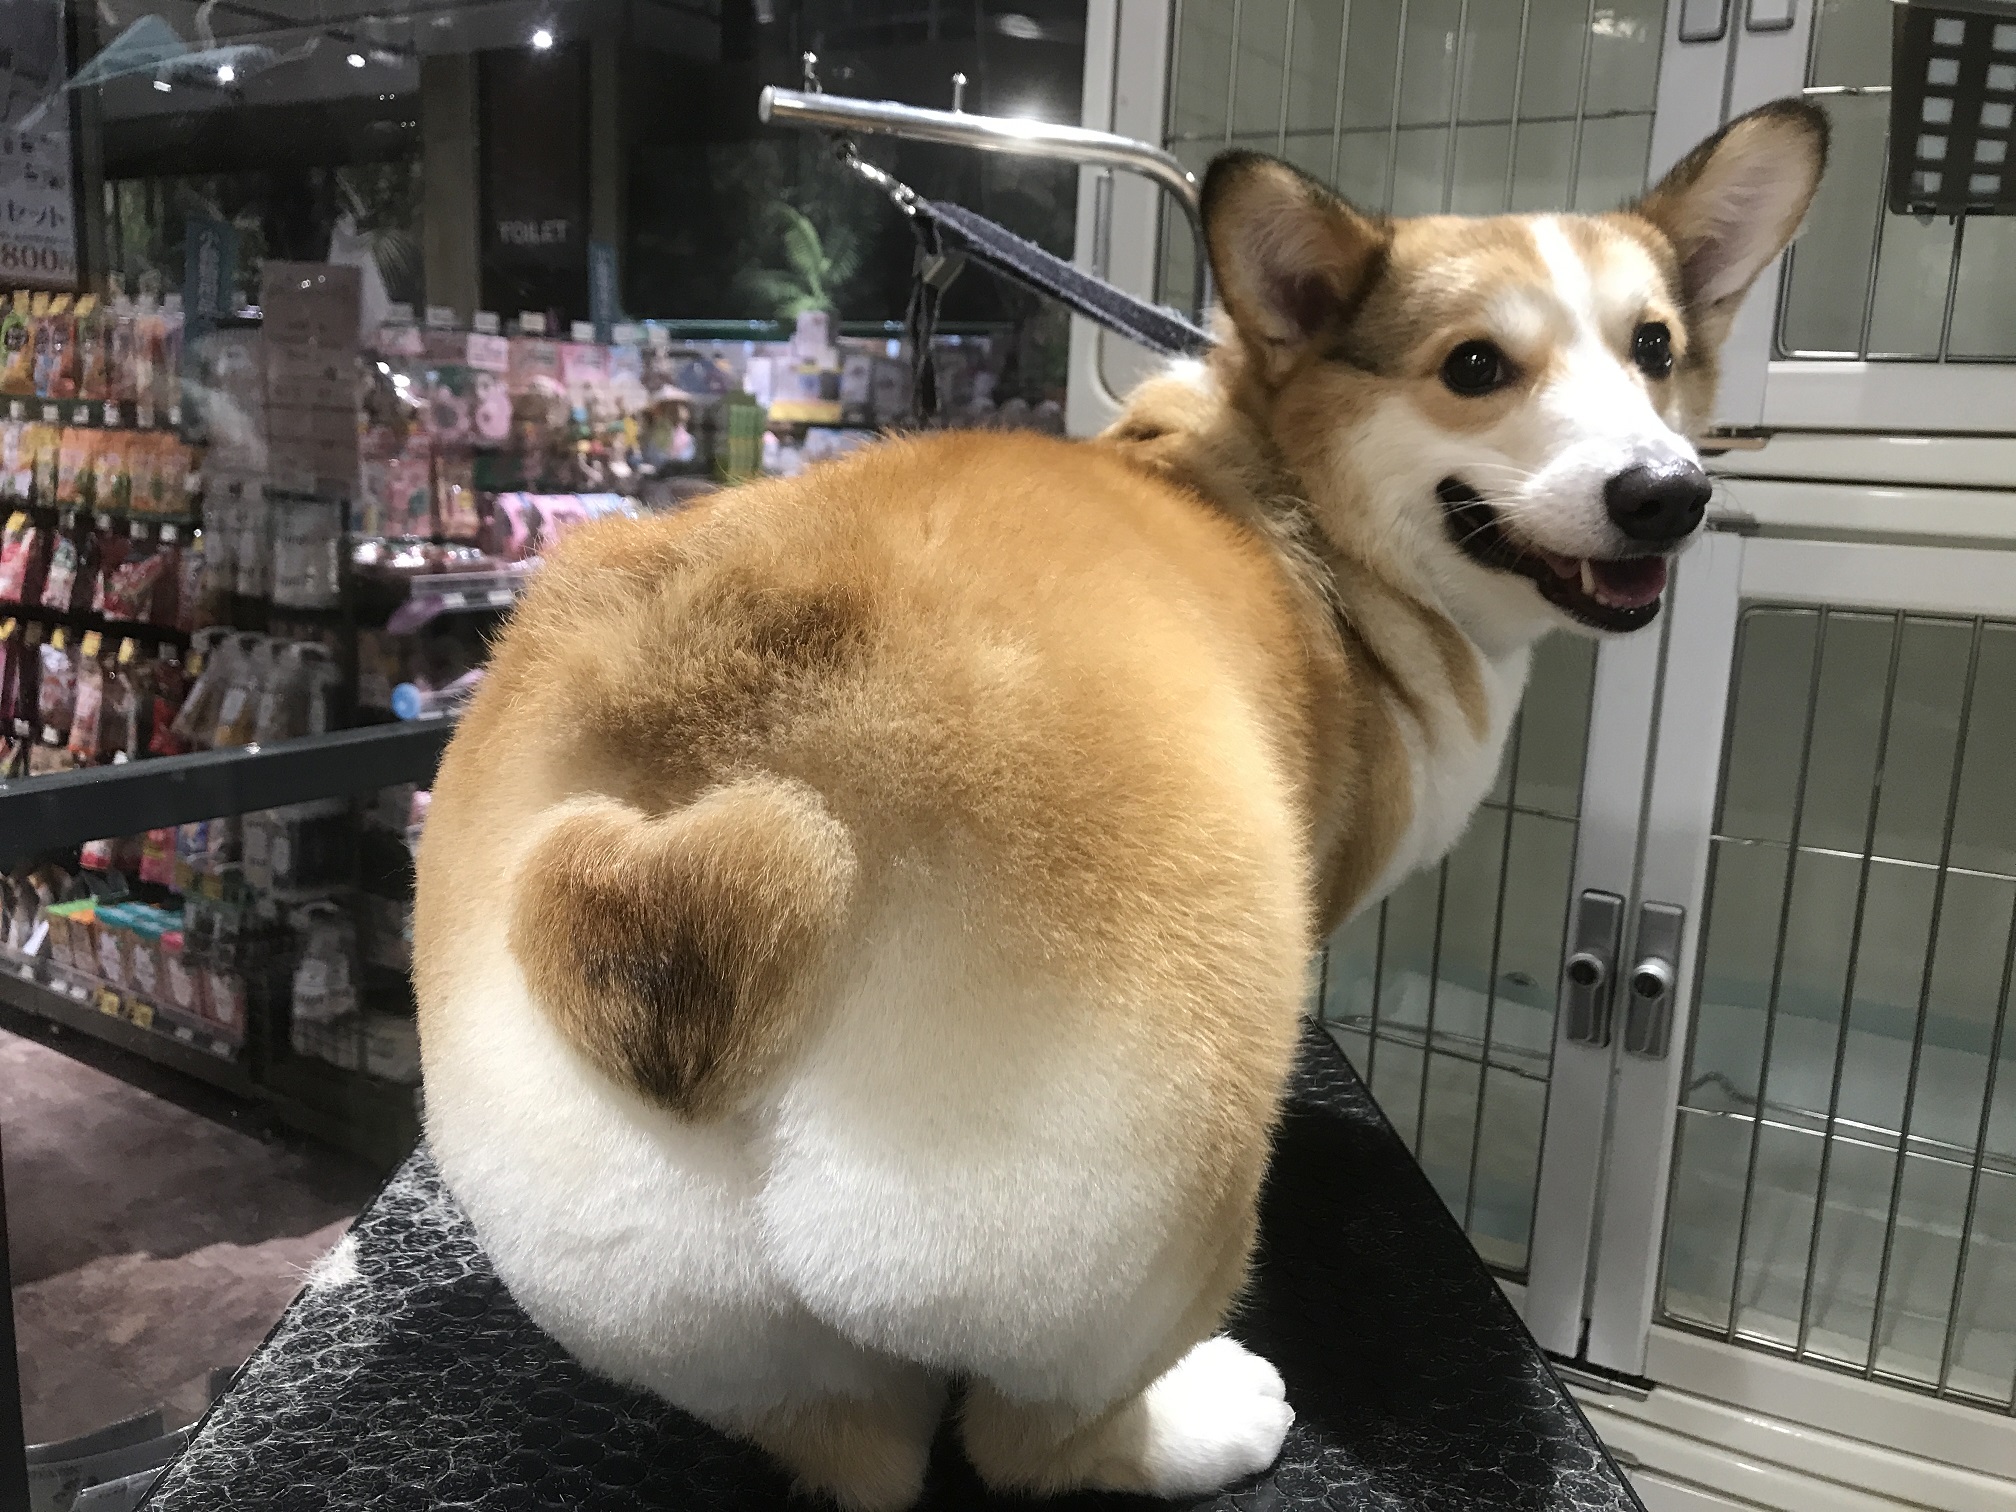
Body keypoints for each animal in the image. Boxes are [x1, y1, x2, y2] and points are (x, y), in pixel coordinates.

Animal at [414, 98, 1826, 1509]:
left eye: (1656, 347)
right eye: (1475, 367)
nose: (1668, 494)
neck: (1295, 502)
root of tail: (717, 829)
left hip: (683, 1306)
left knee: (860, 1446)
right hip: (1148, 1210)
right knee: (1031, 1441)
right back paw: (1201, 1419)